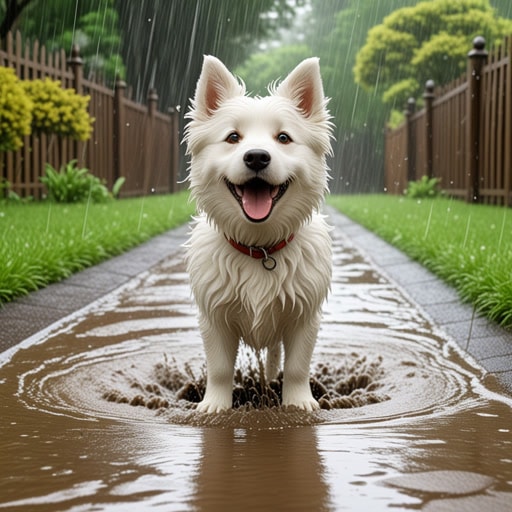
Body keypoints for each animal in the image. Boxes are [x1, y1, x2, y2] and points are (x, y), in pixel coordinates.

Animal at [184, 55, 332, 412]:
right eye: (232, 137)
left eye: (284, 138)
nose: (256, 157)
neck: (260, 247)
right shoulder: (215, 318)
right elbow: (220, 369)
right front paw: (215, 406)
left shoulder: (303, 316)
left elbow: (297, 367)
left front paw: (298, 403)